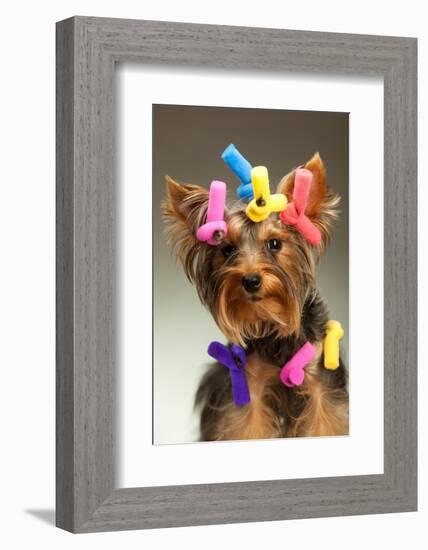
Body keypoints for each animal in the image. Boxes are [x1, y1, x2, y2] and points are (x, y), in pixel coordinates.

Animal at [163, 153, 348, 442]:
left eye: (274, 244)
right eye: (227, 250)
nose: (250, 280)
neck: (272, 321)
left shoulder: (321, 382)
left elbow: (325, 420)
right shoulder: (251, 384)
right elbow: (249, 425)